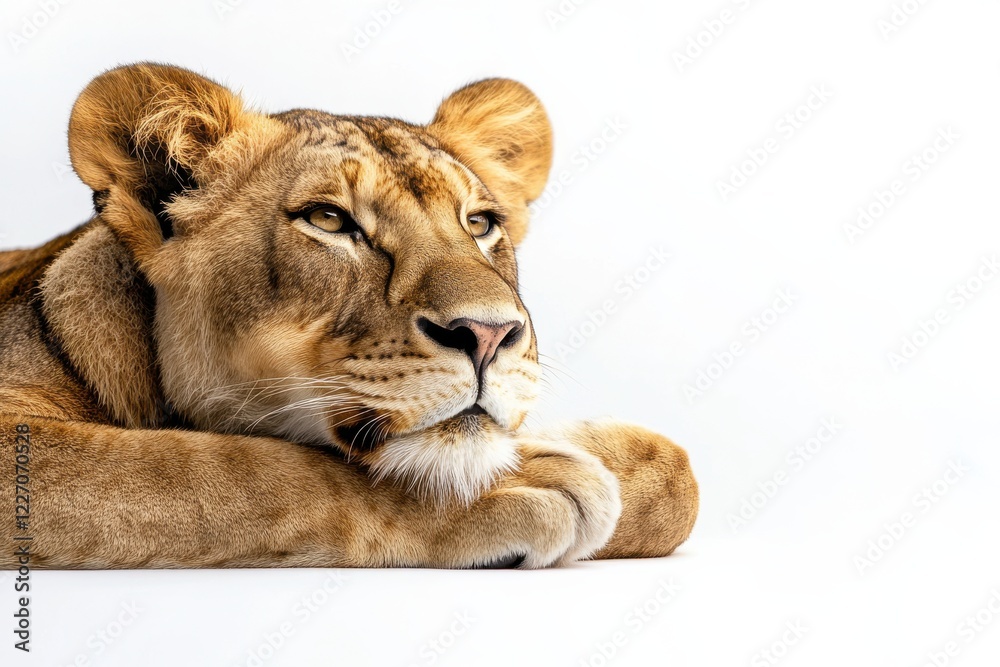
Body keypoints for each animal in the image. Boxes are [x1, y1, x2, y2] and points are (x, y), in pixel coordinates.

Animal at [0, 63, 697, 569]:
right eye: (329, 219)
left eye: (479, 223)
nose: (489, 334)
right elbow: (240, 470)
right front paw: (524, 482)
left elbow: (681, 483)